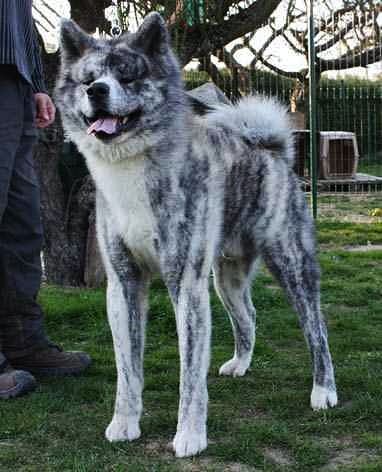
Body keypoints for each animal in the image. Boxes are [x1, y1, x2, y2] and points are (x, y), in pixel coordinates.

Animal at [56, 12, 338, 458]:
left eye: (128, 77)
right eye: (89, 79)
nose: (97, 91)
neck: (130, 168)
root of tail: (271, 150)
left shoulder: (185, 284)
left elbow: (190, 375)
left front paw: (189, 435)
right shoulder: (123, 285)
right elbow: (127, 370)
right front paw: (124, 422)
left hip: (293, 266)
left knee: (317, 328)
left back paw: (324, 391)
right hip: (226, 279)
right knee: (248, 316)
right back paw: (240, 364)